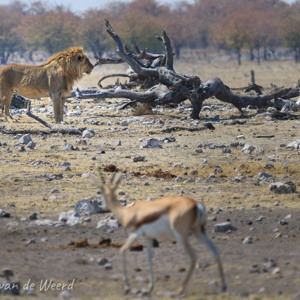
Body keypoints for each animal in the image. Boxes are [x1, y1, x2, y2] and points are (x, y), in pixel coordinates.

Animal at [90, 172, 226, 296]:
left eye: (100, 191)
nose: (102, 207)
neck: (127, 213)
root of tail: (196, 204)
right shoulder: (148, 238)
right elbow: (149, 257)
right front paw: (149, 288)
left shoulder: (135, 234)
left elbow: (122, 250)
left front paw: (128, 288)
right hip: (198, 231)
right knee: (215, 250)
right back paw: (223, 287)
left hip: (181, 235)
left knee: (194, 257)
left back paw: (179, 291)